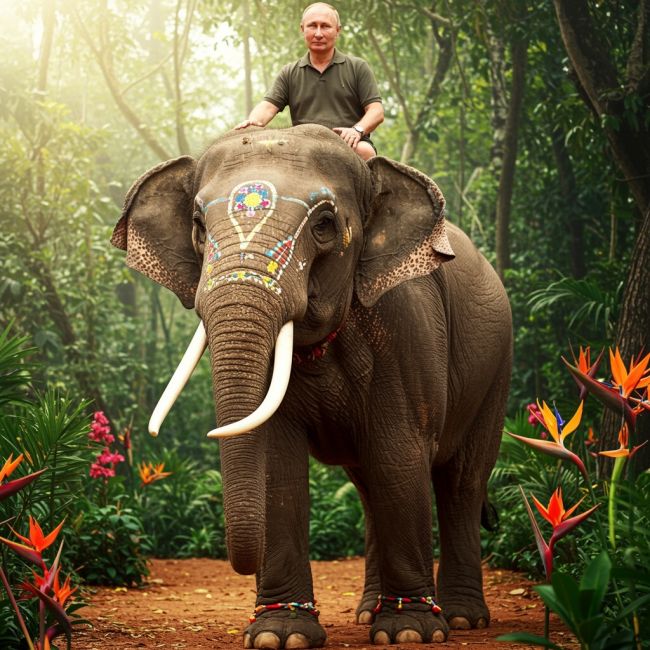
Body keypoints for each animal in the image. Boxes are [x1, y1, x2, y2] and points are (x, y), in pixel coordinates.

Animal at [111, 124, 512, 648]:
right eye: (198, 225)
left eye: (324, 224)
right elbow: (277, 462)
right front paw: (279, 635)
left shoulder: (408, 324)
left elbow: (399, 453)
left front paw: (410, 632)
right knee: (370, 487)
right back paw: (365, 614)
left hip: (496, 366)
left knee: (460, 482)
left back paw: (462, 619)